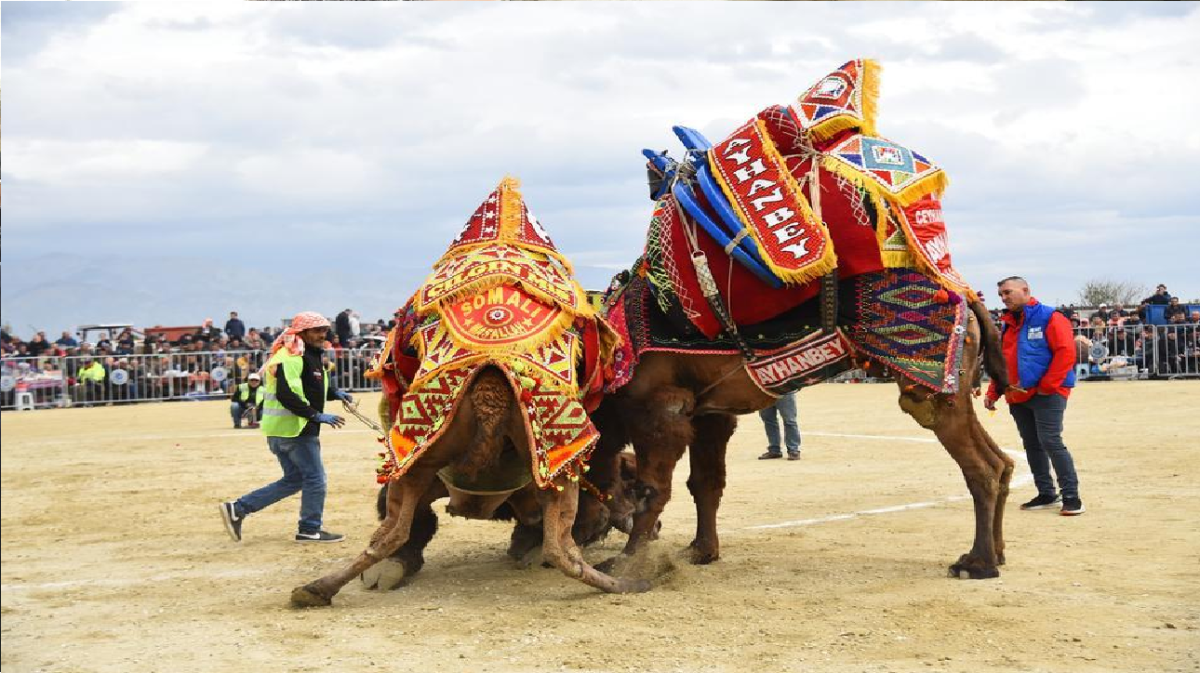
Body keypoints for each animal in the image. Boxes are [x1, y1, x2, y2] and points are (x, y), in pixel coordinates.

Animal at [290, 176, 648, 607]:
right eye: (633, 487)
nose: (636, 516)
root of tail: (490, 383)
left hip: (435, 451)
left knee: (391, 532)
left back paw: (317, 589)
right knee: (559, 547)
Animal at [583, 298, 1012, 578]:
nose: (581, 534)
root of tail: (972, 304)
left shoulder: (658, 409)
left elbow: (651, 490)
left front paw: (624, 564)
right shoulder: (709, 413)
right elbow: (705, 483)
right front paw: (701, 551)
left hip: (933, 382)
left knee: (980, 467)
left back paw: (978, 563)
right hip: (957, 390)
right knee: (1002, 461)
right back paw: (997, 553)